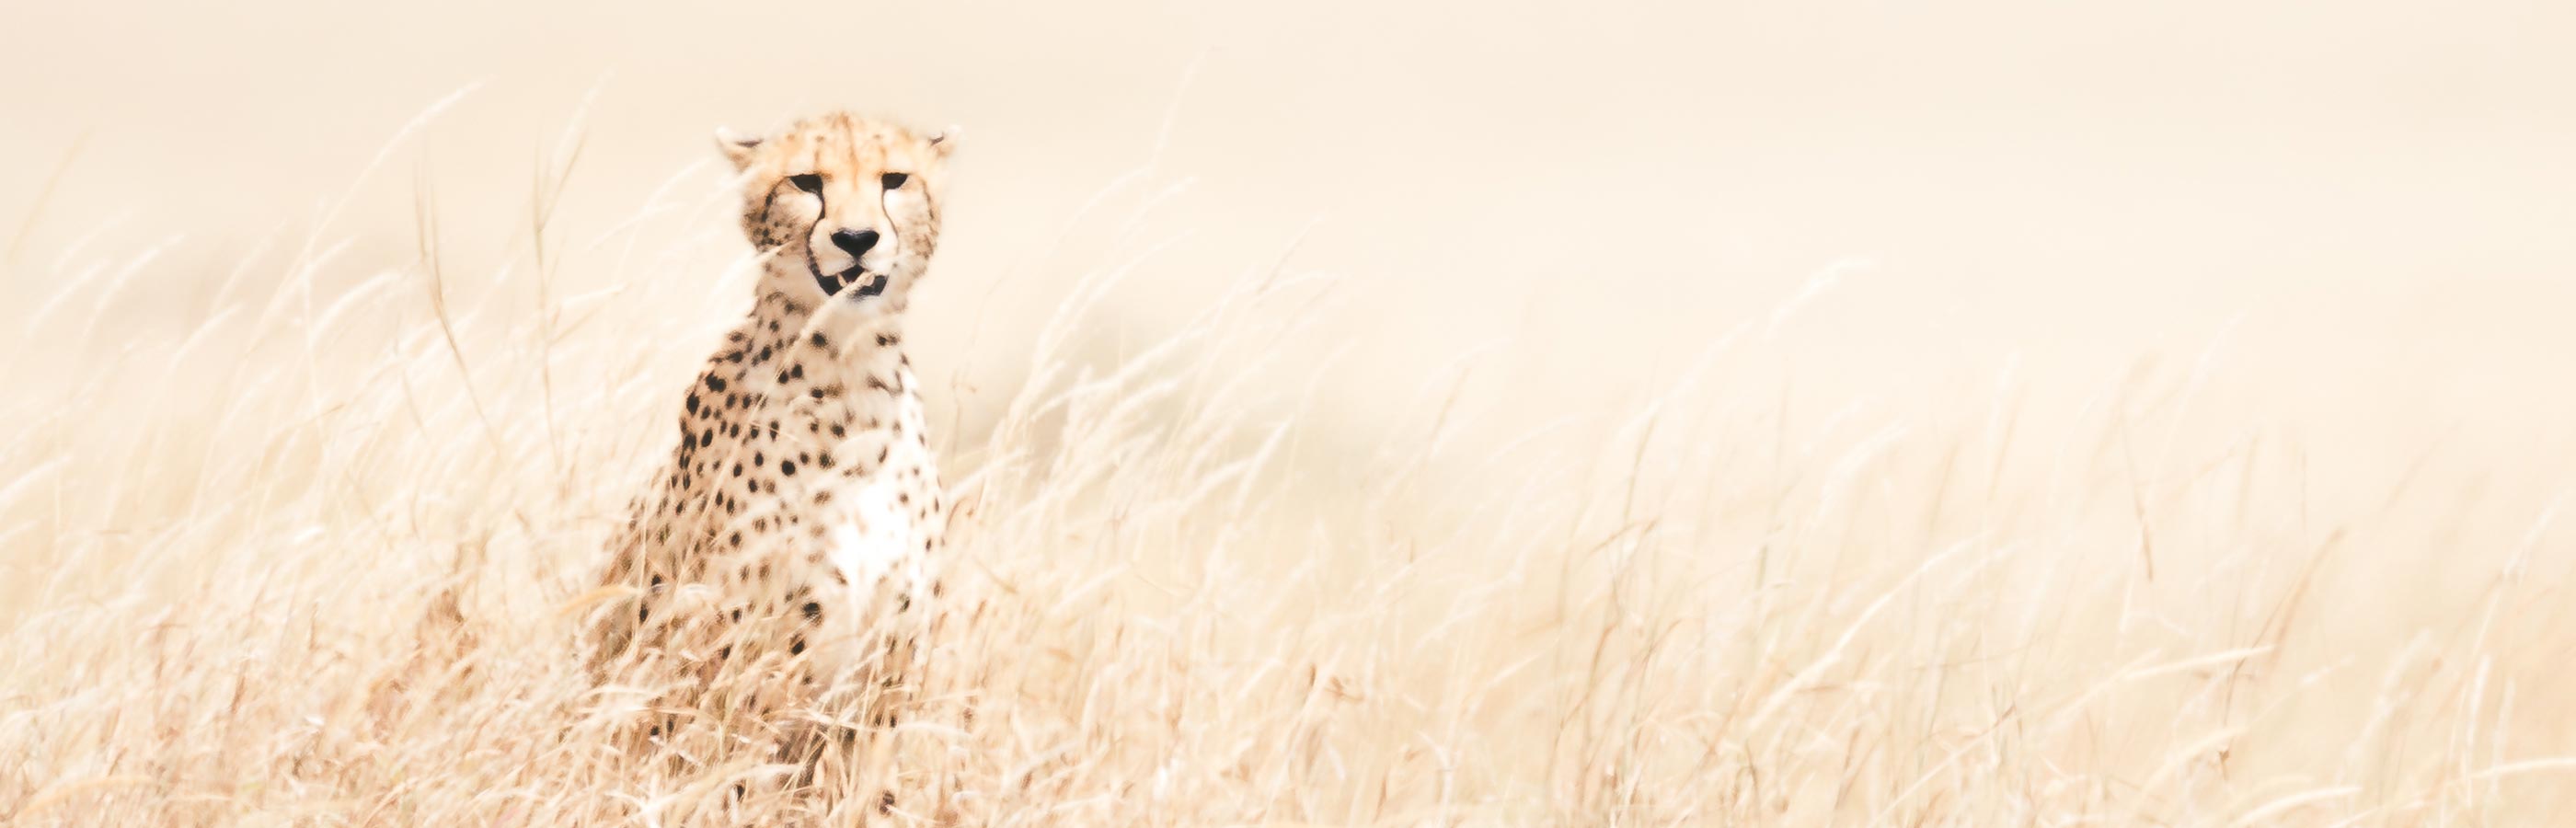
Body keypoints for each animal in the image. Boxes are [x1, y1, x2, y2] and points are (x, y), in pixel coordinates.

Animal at [590, 110, 963, 742]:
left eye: (895, 180)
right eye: (806, 182)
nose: (856, 239)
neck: (850, 376)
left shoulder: (888, 672)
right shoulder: (742, 666)